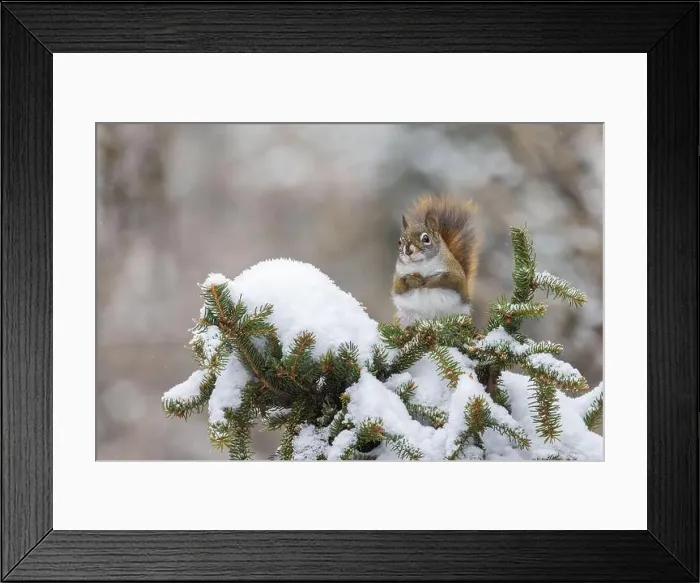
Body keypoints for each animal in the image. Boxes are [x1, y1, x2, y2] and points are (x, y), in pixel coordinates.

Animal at [391, 193, 481, 327]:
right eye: (400, 242)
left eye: (426, 239)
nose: (408, 251)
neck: (421, 265)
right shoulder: (399, 275)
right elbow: (401, 284)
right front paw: (414, 280)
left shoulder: (455, 273)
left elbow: (447, 279)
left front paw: (429, 281)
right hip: (406, 317)